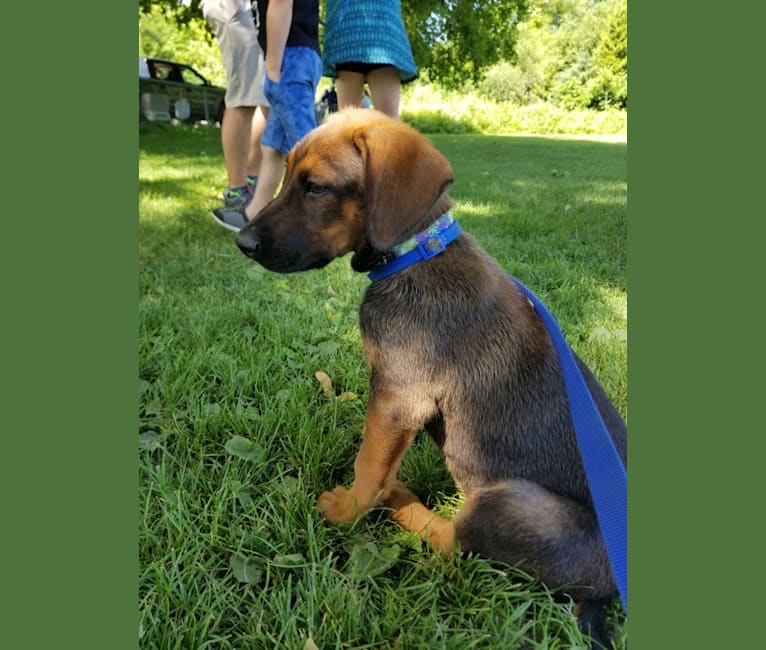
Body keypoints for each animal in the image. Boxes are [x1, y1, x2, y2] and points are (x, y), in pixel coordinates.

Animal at [237, 109, 628, 640]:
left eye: (316, 187)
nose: (242, 242)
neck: (416, 251)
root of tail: (608, 593)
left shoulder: (399, 398)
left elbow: (368, 464)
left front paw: (348, 511)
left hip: (507, 503)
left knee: (457, 547)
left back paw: (402, 503)